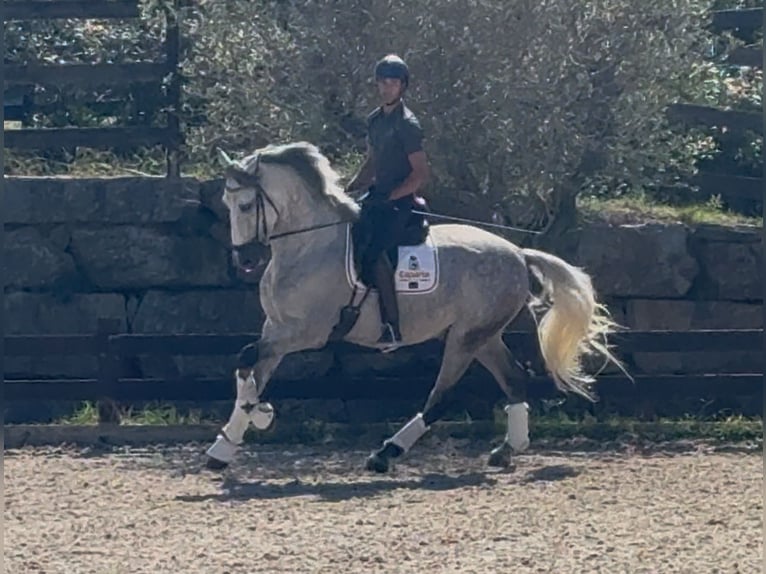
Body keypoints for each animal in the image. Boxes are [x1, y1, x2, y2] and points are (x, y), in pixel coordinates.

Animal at [204, 140, 627, 473]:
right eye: (227, 203)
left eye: (246, 205)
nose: (244, 260)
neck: (308, 246)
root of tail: (519, 254)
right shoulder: (276, 329)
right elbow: (251, 369)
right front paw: (227, 443)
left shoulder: (307, 331)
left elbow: (246, 360)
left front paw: (259, 415)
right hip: (483, 335)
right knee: (513, 379)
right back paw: (508, 449)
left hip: (465, 338)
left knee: (441, 397)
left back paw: (386, 453)